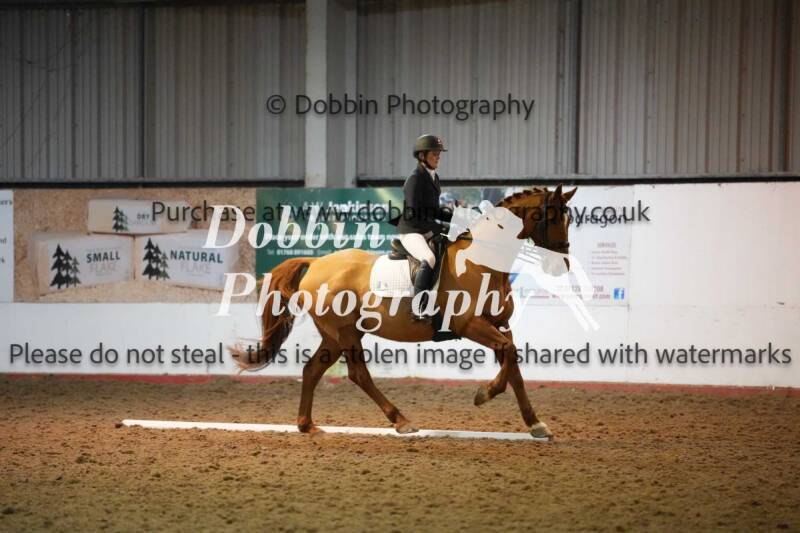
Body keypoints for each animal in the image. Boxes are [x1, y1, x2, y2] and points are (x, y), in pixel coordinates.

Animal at [231, 185, 577, 439]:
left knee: (312, 370)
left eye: (569, 219)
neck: (482, 261)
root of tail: (315, 263)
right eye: (552, 217)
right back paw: (401, 420)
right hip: (345, 332)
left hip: (336, 334)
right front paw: (485, 394)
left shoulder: (501, 324)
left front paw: (535, 424)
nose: (561, 265)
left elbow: (513, 363)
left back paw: (307, 425)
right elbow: (508, 355)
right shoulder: (470, 324)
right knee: (358, 374)